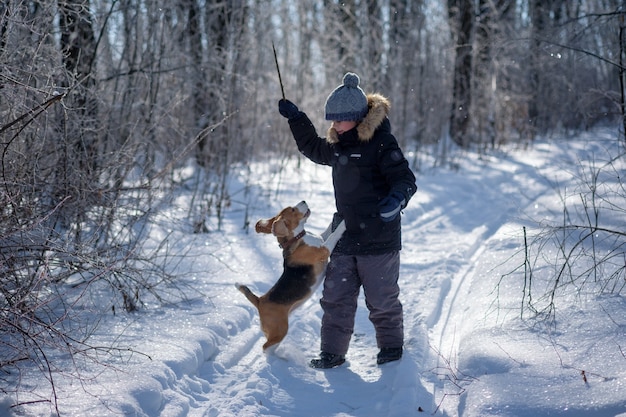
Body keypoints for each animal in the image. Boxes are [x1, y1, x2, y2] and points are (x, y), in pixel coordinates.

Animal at [238, 200, 346, 350]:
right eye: (293, 210)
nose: (304, 201)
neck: (297, 238)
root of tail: (259, 301)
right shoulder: (324, 250)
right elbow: (333, 235)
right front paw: (344, 223)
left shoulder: (321, 239)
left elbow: (327, 232)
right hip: (280, 330)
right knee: (266, 347)